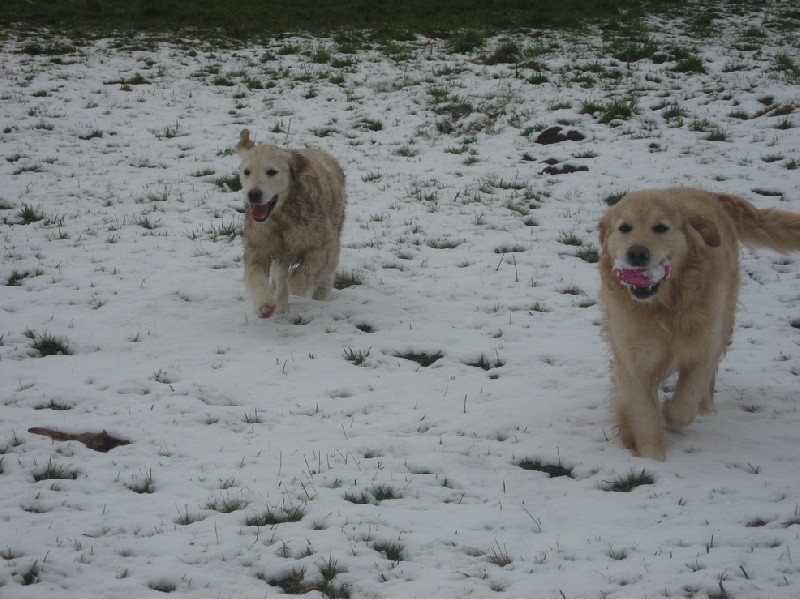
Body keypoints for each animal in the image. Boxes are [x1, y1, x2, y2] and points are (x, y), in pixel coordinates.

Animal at [231, 131, 344, 318]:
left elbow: (309, 269)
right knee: (280, 276)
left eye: (271, 172)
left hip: (336, 232)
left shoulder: (321, 242)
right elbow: (255, 275)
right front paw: (264, 304)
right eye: (247, 171)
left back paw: (321, 295)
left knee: (328, 270)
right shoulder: (257, 245)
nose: (253, 194)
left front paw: (296, 284)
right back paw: (280, 304)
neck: (281, 218)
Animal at [600, 190, 800, 462]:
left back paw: (704, 405)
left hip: (723, 320)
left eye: (660, 227)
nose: (637, 253)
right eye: (624, 228)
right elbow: (644, 417)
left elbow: (683, 408)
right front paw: (651, 457)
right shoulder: (634, 360)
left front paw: (668, 412)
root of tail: (704, 192)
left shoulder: (704, 349)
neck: (665, 308)